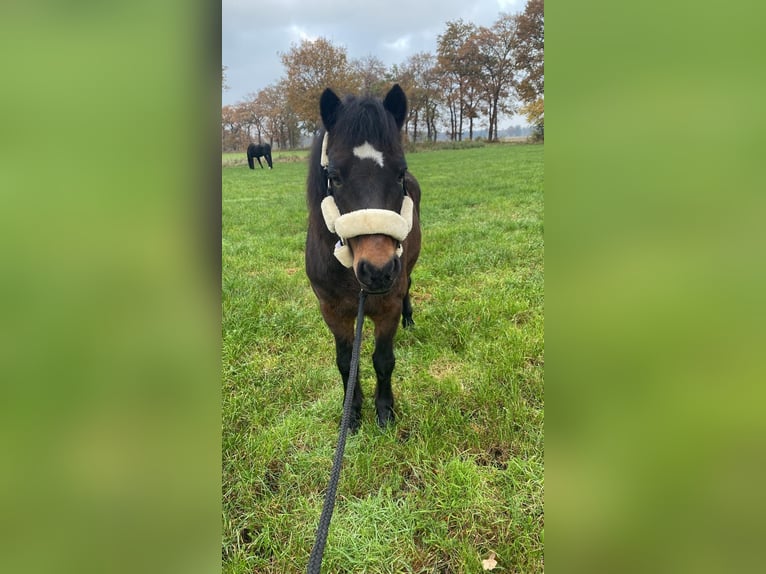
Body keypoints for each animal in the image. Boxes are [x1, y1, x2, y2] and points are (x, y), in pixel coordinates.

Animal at [305, 84, 422, 431]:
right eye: (335, 176)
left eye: (400, 173)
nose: (378, 270)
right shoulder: (332, 311)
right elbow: (346, 363)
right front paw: (353, 413)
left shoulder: (388, 307)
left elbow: (383, 360)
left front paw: (384, 412)